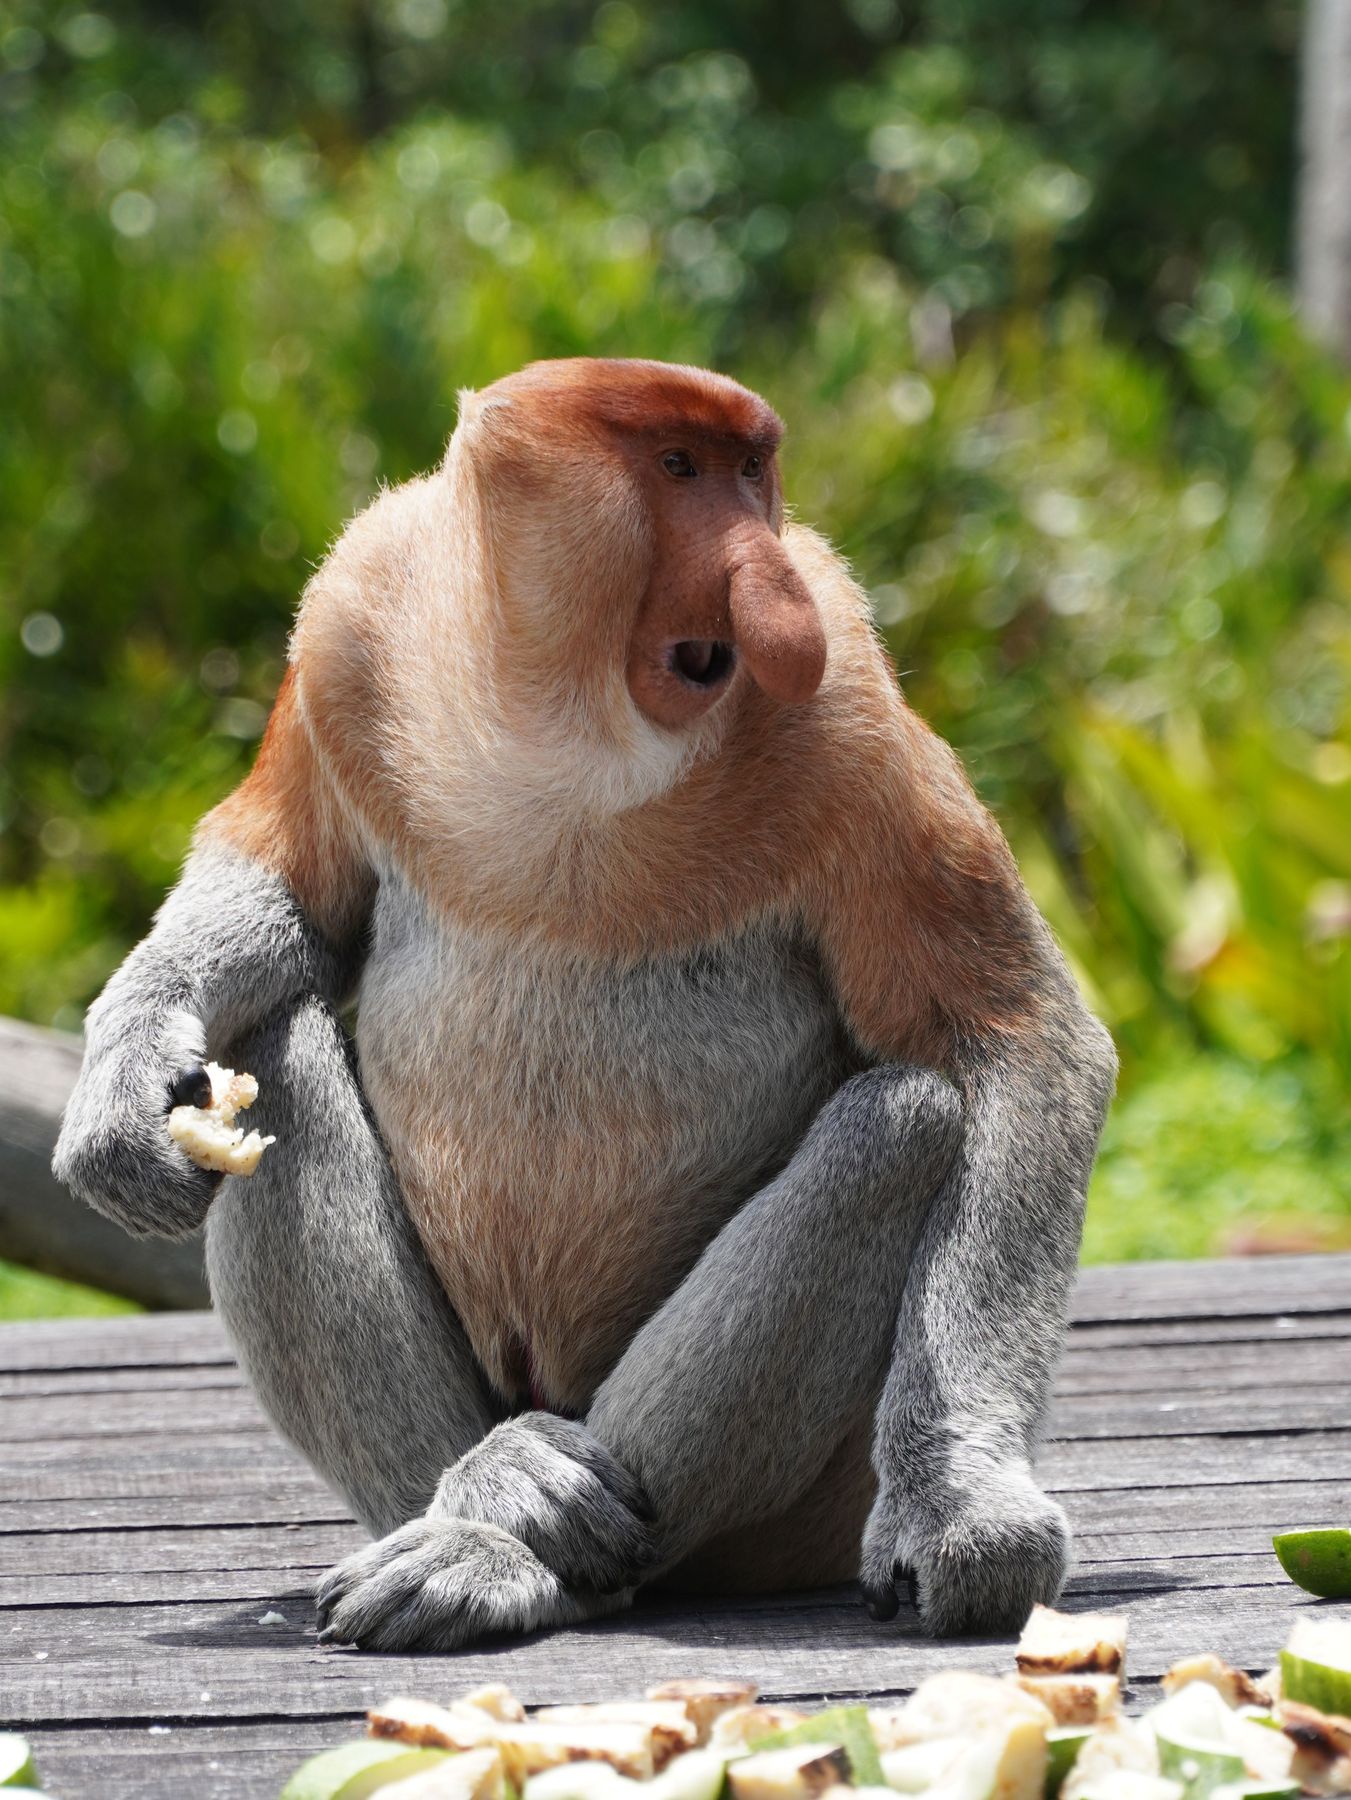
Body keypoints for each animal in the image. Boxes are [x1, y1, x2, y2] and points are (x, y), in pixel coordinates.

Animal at [53, 357, 1117, 1651]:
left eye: (752, 472)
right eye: (680, 468)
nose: (767, 591)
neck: (564, 712)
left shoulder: (851, 715)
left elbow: (1014, 1036)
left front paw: (966, 1509)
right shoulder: (349, 620)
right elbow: (286, 892)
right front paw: (117, 1100)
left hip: (792, 1512)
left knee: (905, 1123)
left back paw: (511, 1548)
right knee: (275, 1043)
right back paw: (480, 1500)